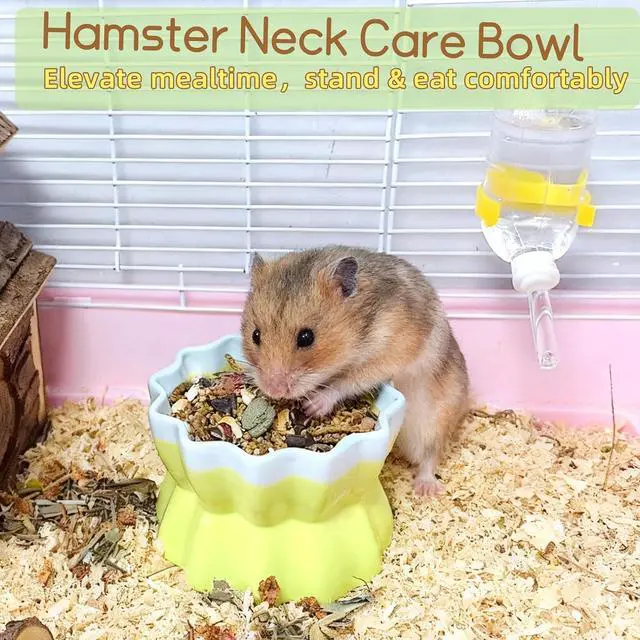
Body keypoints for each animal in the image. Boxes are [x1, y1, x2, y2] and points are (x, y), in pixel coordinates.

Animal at [240, 245, 470, 497]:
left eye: (306, 337)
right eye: (255, 335)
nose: (273, 391)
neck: (360, 327)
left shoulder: (392, 351)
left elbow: (349, 381)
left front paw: (312, 405)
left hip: (437, 419)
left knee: (431, 455)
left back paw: (425, 490)